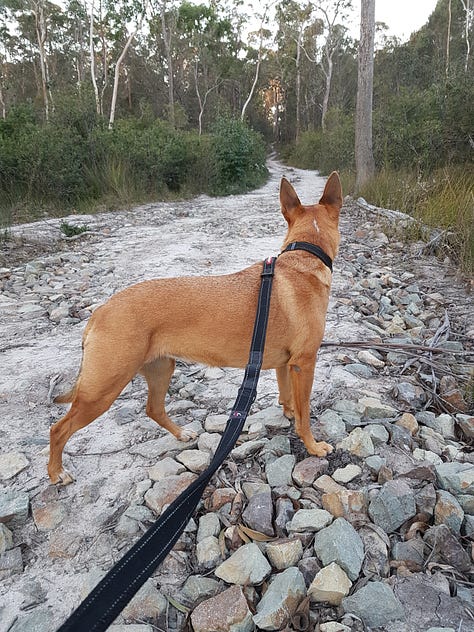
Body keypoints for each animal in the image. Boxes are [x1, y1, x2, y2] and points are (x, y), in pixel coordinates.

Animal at [49, 173, 340, 484]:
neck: (305, 257)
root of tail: (101, 310)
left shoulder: (286, 364)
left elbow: (288, 398)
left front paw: (288, 413)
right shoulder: (304, 364)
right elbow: (305, 414)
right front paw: (313, 446)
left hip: (160, 368)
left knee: (153, 408)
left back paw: (181, 433)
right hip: (103, 389)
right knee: (58, 429)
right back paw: (56, 473)